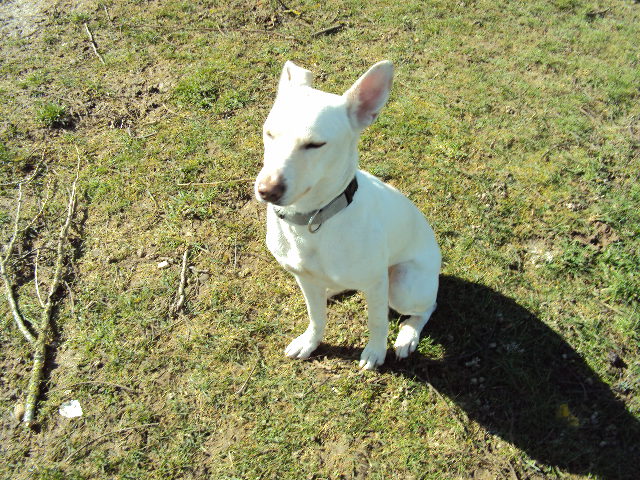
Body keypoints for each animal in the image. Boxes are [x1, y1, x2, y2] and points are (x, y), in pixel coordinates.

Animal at [255, 60, 440, 368]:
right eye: (269, 133)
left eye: (315, 145)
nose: (267, 191)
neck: (312, 221)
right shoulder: (304, 278)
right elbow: (316, 316)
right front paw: (310, 342)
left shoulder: (377, 283)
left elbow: (377, 322)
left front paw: (375, 352)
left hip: (402, 285)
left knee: (427, 307)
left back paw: (408, 336)